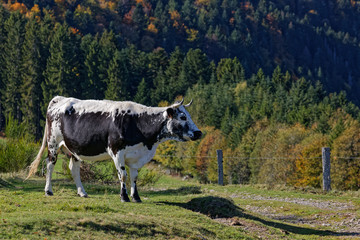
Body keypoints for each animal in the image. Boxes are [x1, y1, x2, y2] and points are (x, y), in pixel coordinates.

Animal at [27, 95, 202, 202]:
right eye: (183, 117)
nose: (199, 133)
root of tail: (60, 98)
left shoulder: (136, 156)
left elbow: (134, 177)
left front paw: (136, 197)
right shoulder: (117, 152)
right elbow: (123, 175)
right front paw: (124, 197)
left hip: (74, 149)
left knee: (74, 169)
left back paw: (82, 192)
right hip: (53, 142)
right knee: (50, 164)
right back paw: (48, 190)